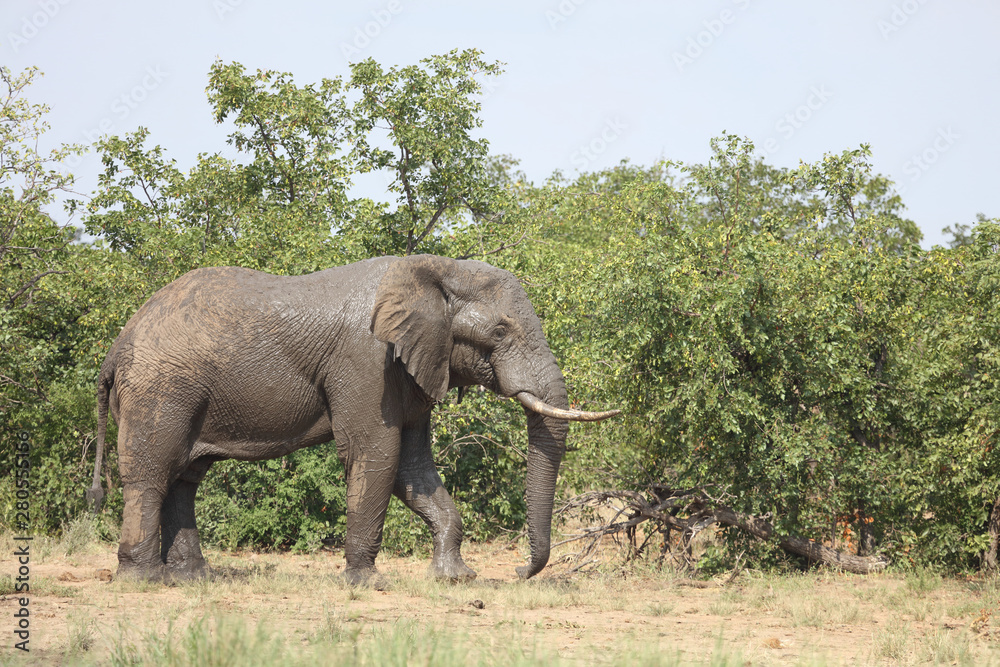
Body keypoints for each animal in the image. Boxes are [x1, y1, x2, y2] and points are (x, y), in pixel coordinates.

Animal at [86, 254, 616, 584]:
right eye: (502, 331)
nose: (519, 572)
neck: (436, 270)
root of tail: (117, 346)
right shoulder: (366, 362)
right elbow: (377, 454)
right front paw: (368, 582)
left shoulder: (410, 368)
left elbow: (414, 469)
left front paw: (456, 579)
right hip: (161, 388)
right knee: (153, 475)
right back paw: (143, 581)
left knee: (185, 478)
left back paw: (194, 578)